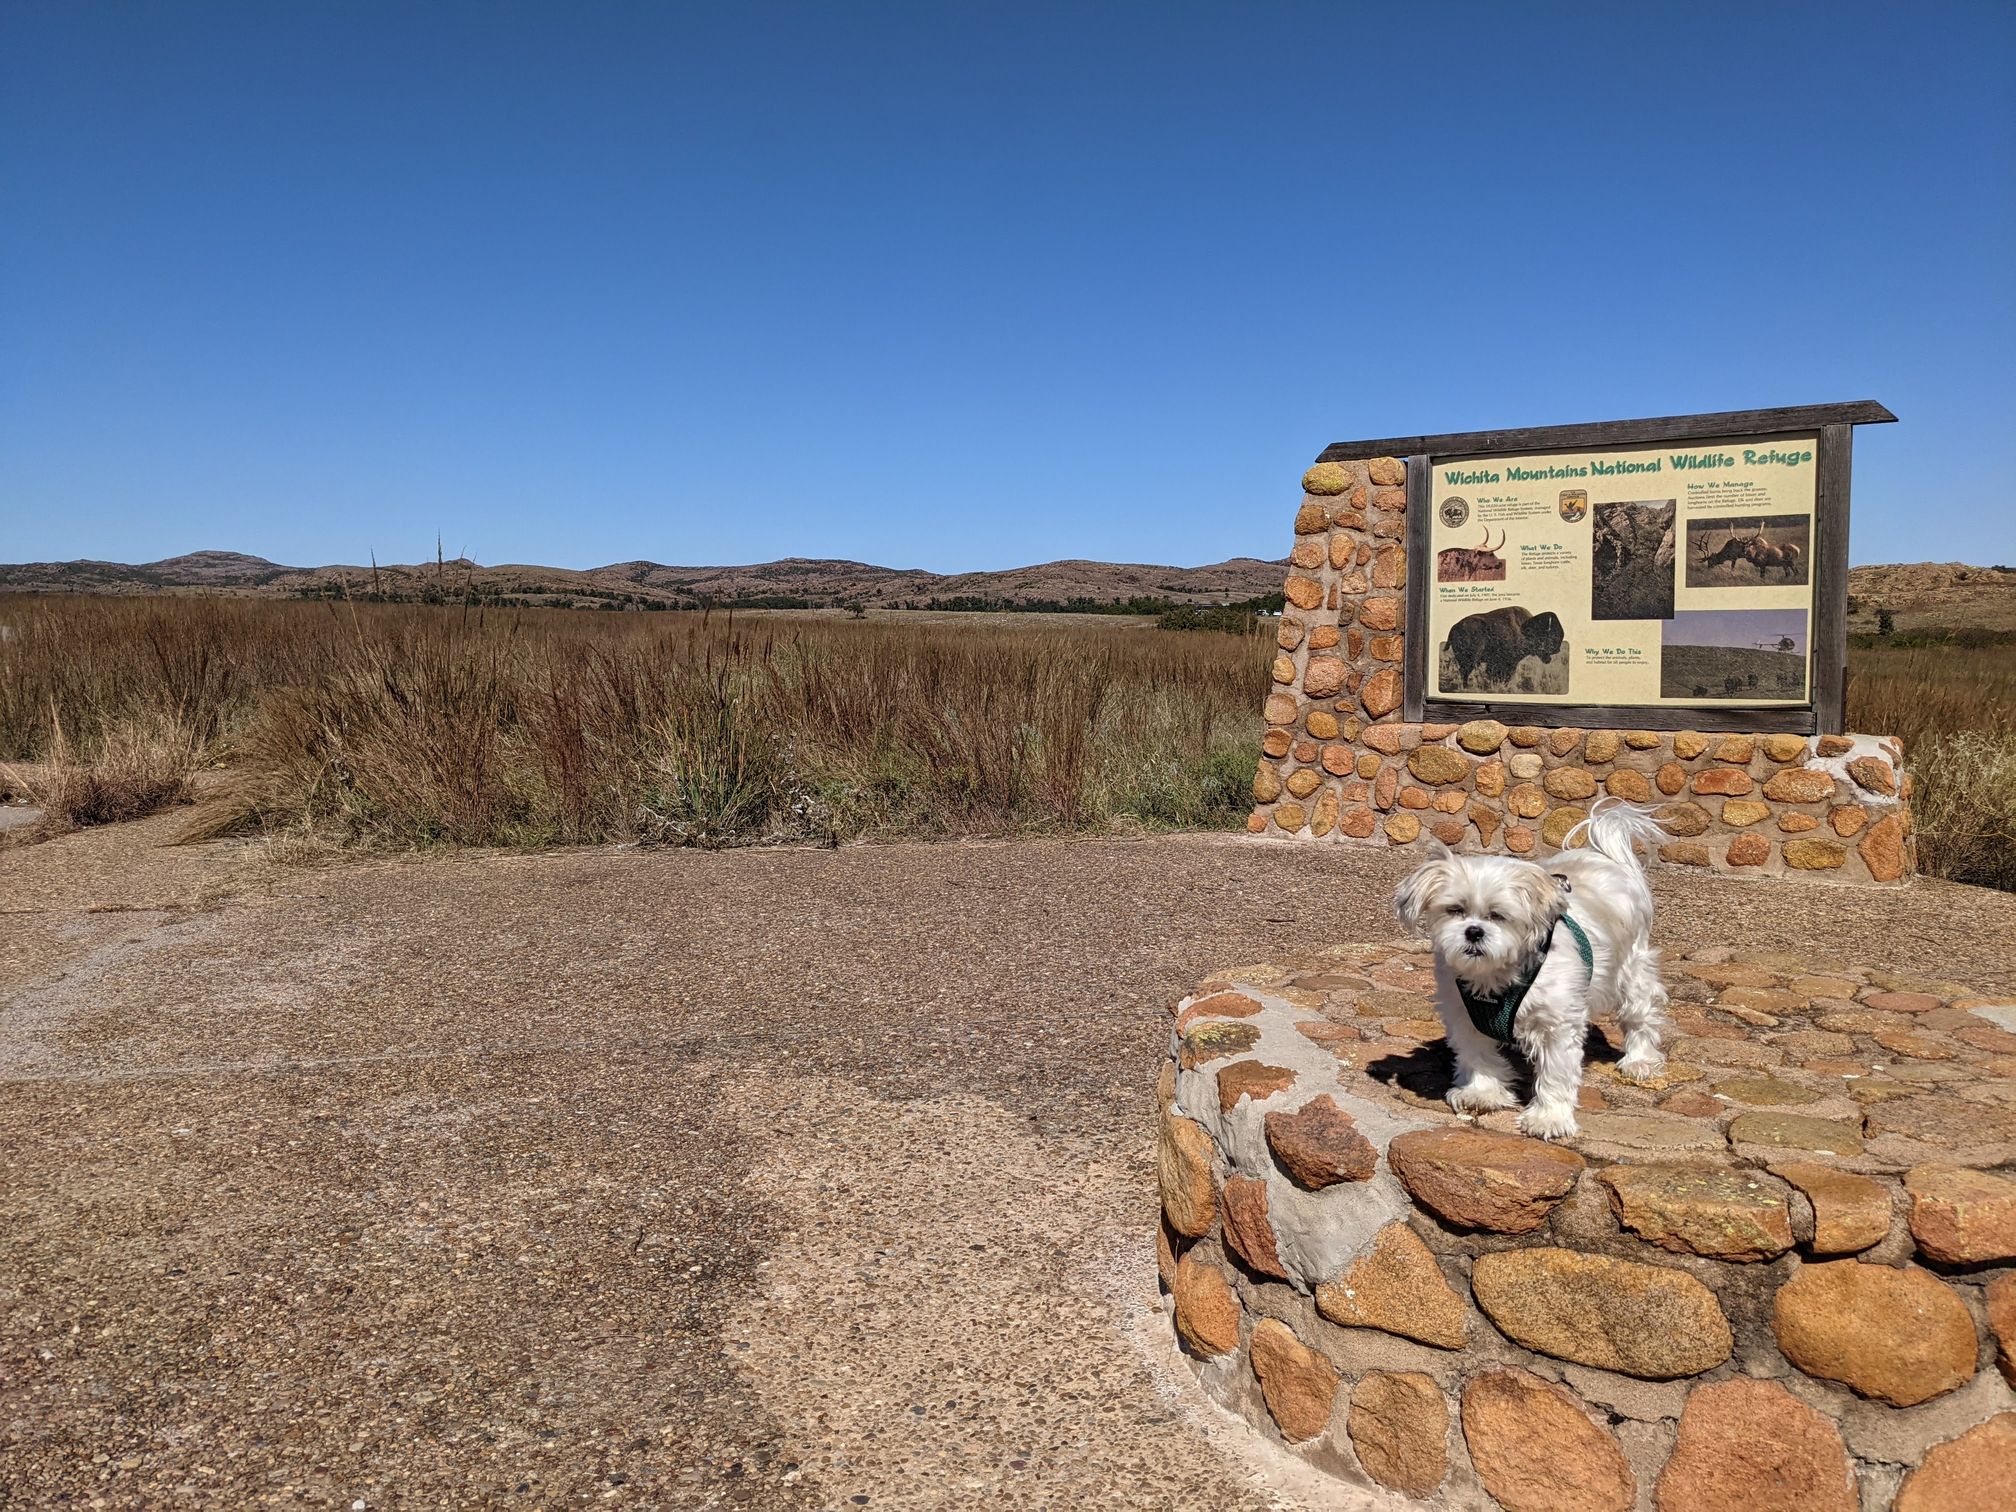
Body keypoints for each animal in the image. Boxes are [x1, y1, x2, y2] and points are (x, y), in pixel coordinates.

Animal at [1403, 798, 1669, 1145]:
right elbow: (1476, 1055)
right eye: (1455, 910)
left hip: (1632, 970)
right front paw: (1481, 1092)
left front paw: (1549, 1117)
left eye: (1498, 916)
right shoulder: (1463, 1014)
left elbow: (1556, 1073)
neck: (1495, 976)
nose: (1473, 931)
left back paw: (1639, 1059)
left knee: (1639, 1016)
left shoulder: (1556, 1025)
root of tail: (1607, 857)